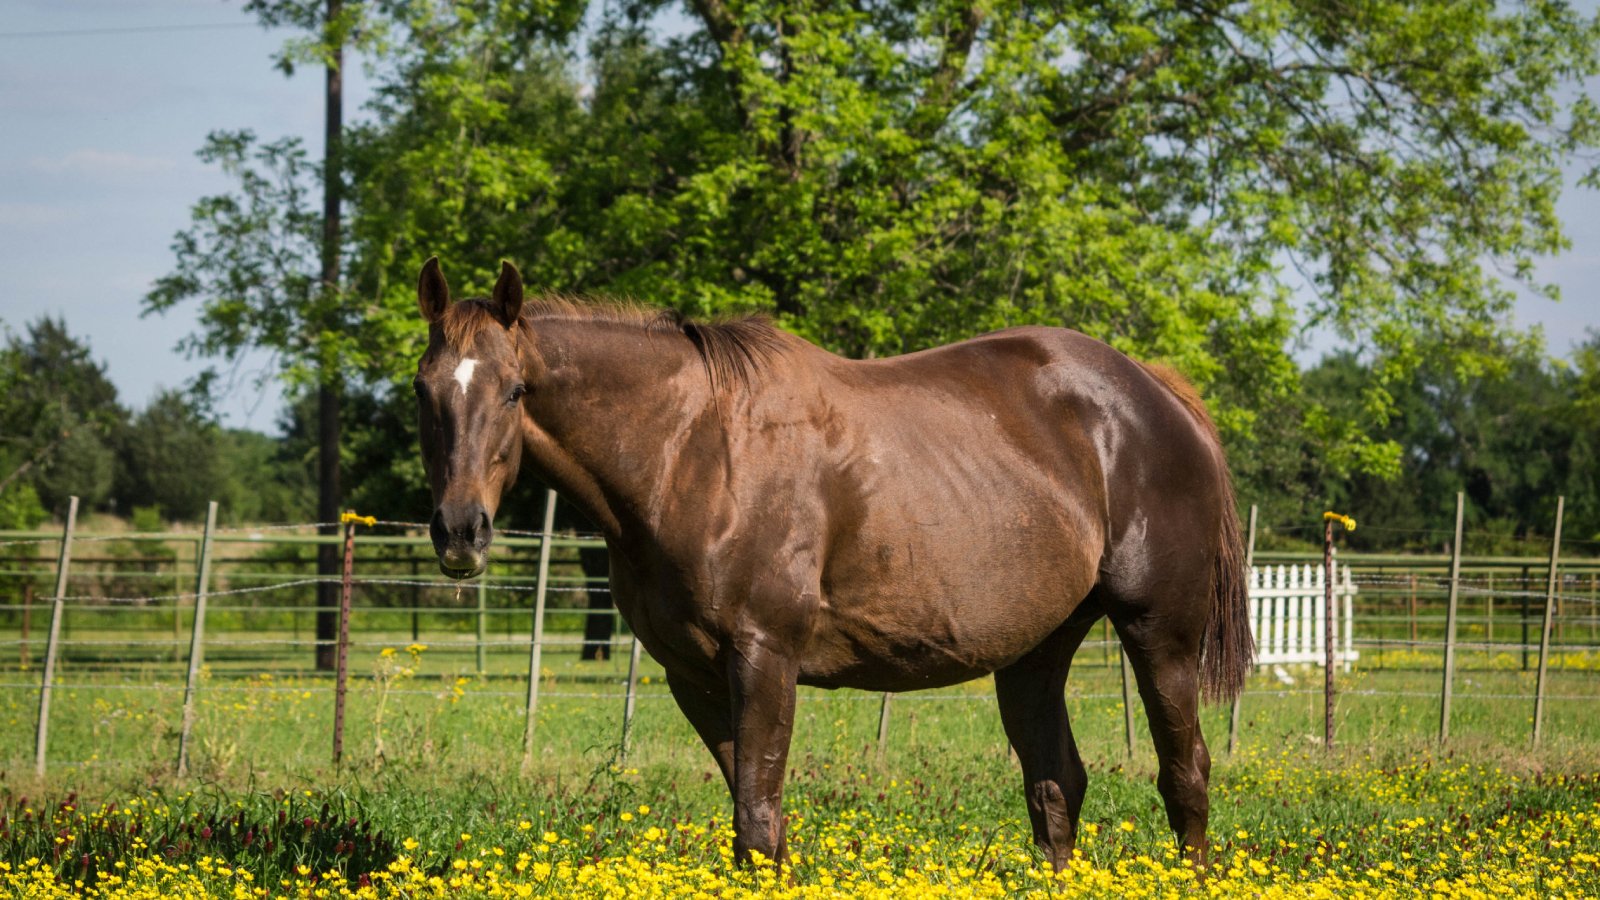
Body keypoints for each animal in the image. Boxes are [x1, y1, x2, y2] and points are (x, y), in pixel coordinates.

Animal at [411, 256, 1252, 871]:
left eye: (515, 390)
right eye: (423, 393)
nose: (460, 532)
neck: (691, 452)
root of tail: (1155, 392)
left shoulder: (765, 658)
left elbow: (757, 820)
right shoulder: (694, 676)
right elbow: (758, 825)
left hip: (1159, 636)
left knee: (1184, 776)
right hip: (1034, 654)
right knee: (1056, 786)